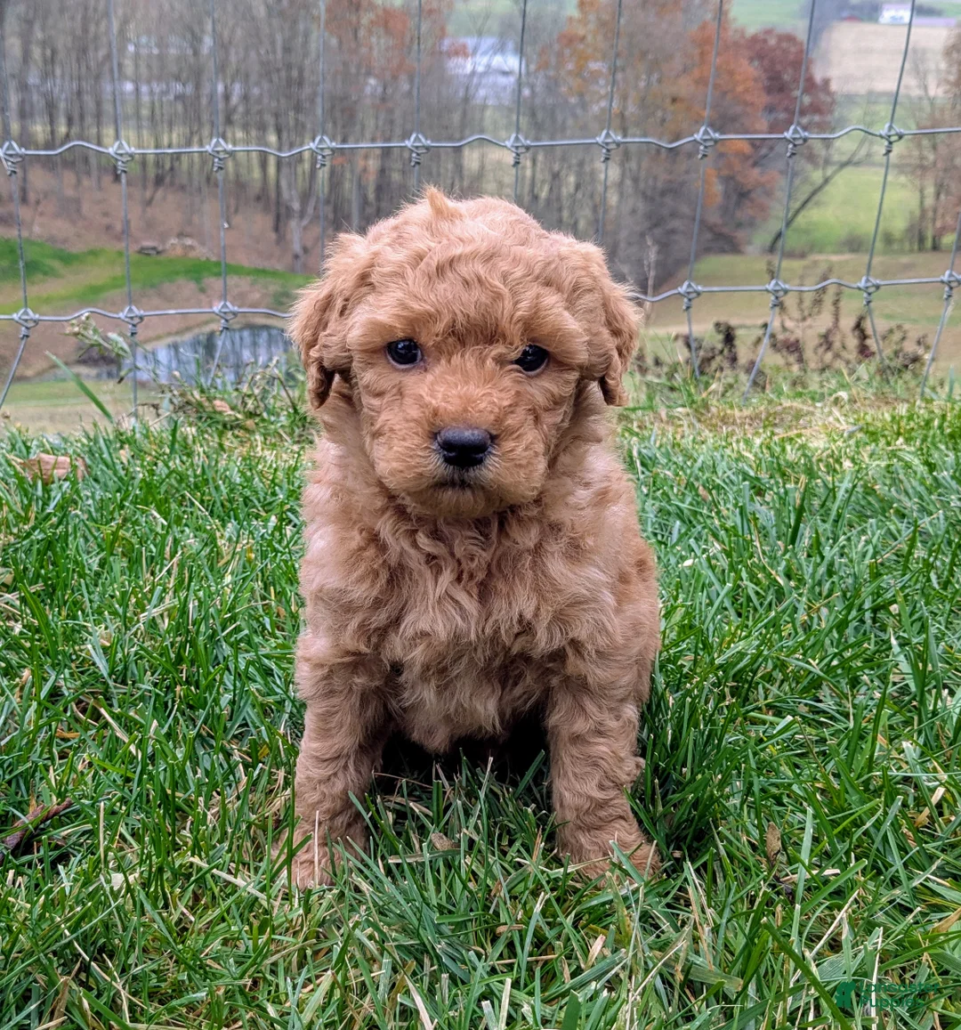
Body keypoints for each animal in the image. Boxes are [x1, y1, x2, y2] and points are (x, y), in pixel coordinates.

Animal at [286, 189, 660, 887]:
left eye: (533, 356)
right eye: (404, 350)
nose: (464, 442)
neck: (459, 537)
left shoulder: (596, 652)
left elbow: (592, 769)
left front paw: (610, 871)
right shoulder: (342, 649)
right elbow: (327, 763)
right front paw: (316, 870)